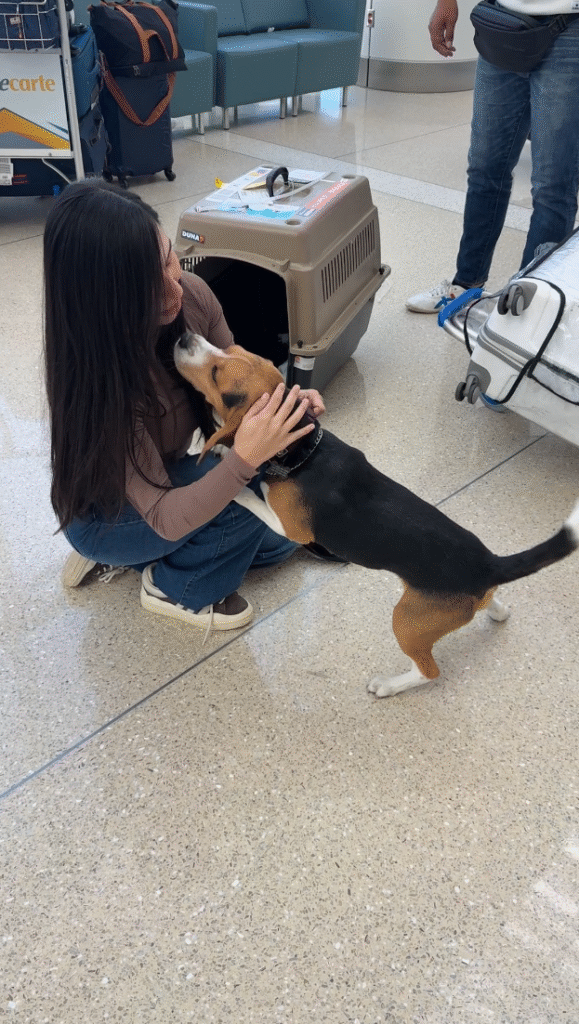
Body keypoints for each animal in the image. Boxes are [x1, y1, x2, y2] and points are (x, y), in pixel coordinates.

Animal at [174, 333, 579, 698]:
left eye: (216, 374)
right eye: (228, 347)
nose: (182, 336)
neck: (304, 450)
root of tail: (489, 565)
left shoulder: (291, 527)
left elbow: (253, 498)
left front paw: (232, 480)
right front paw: (219, 451)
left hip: (406, 621)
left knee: (428, 671)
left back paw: (388, 685)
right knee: (492, 608)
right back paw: (497, 611)